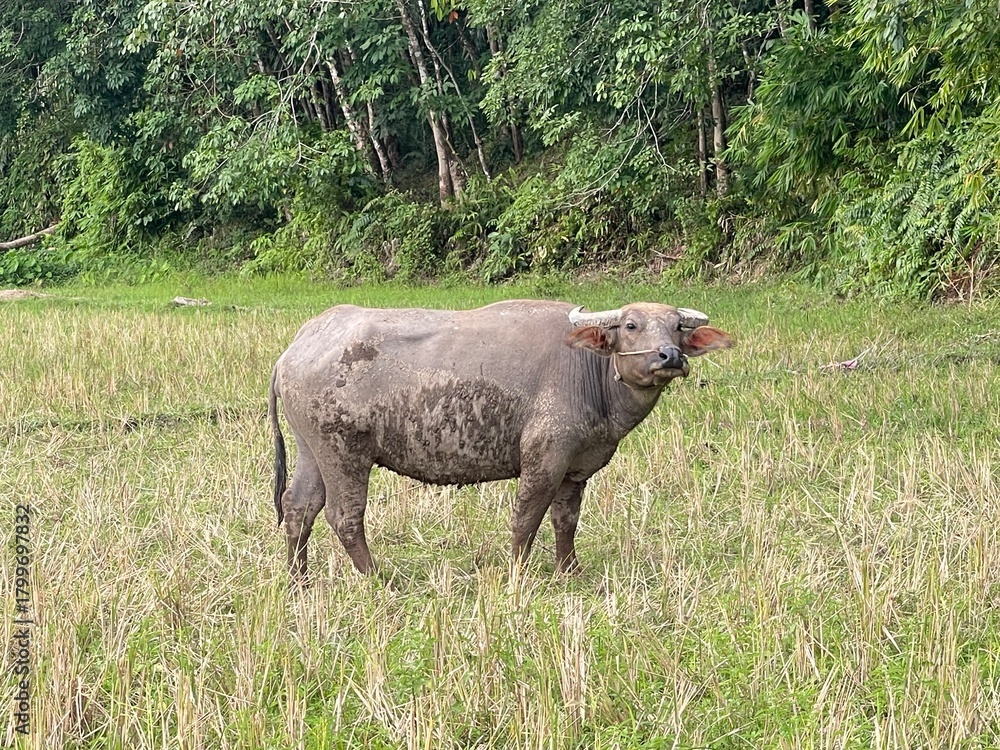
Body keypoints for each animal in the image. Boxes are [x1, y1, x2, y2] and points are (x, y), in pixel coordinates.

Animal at [269, 300, 733, 578]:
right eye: (632, 325)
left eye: (676, 327)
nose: (669, 356)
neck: (589, 371)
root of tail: (296, 346)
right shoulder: (543, 459)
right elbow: (526, 519)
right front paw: (519, 572)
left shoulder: (575, 470)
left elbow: (566, 520)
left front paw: (569, 570)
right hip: (344, 452)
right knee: (344, 515)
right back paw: (376, 577)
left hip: (311, 449)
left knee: (299, 507)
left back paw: (298, 579)